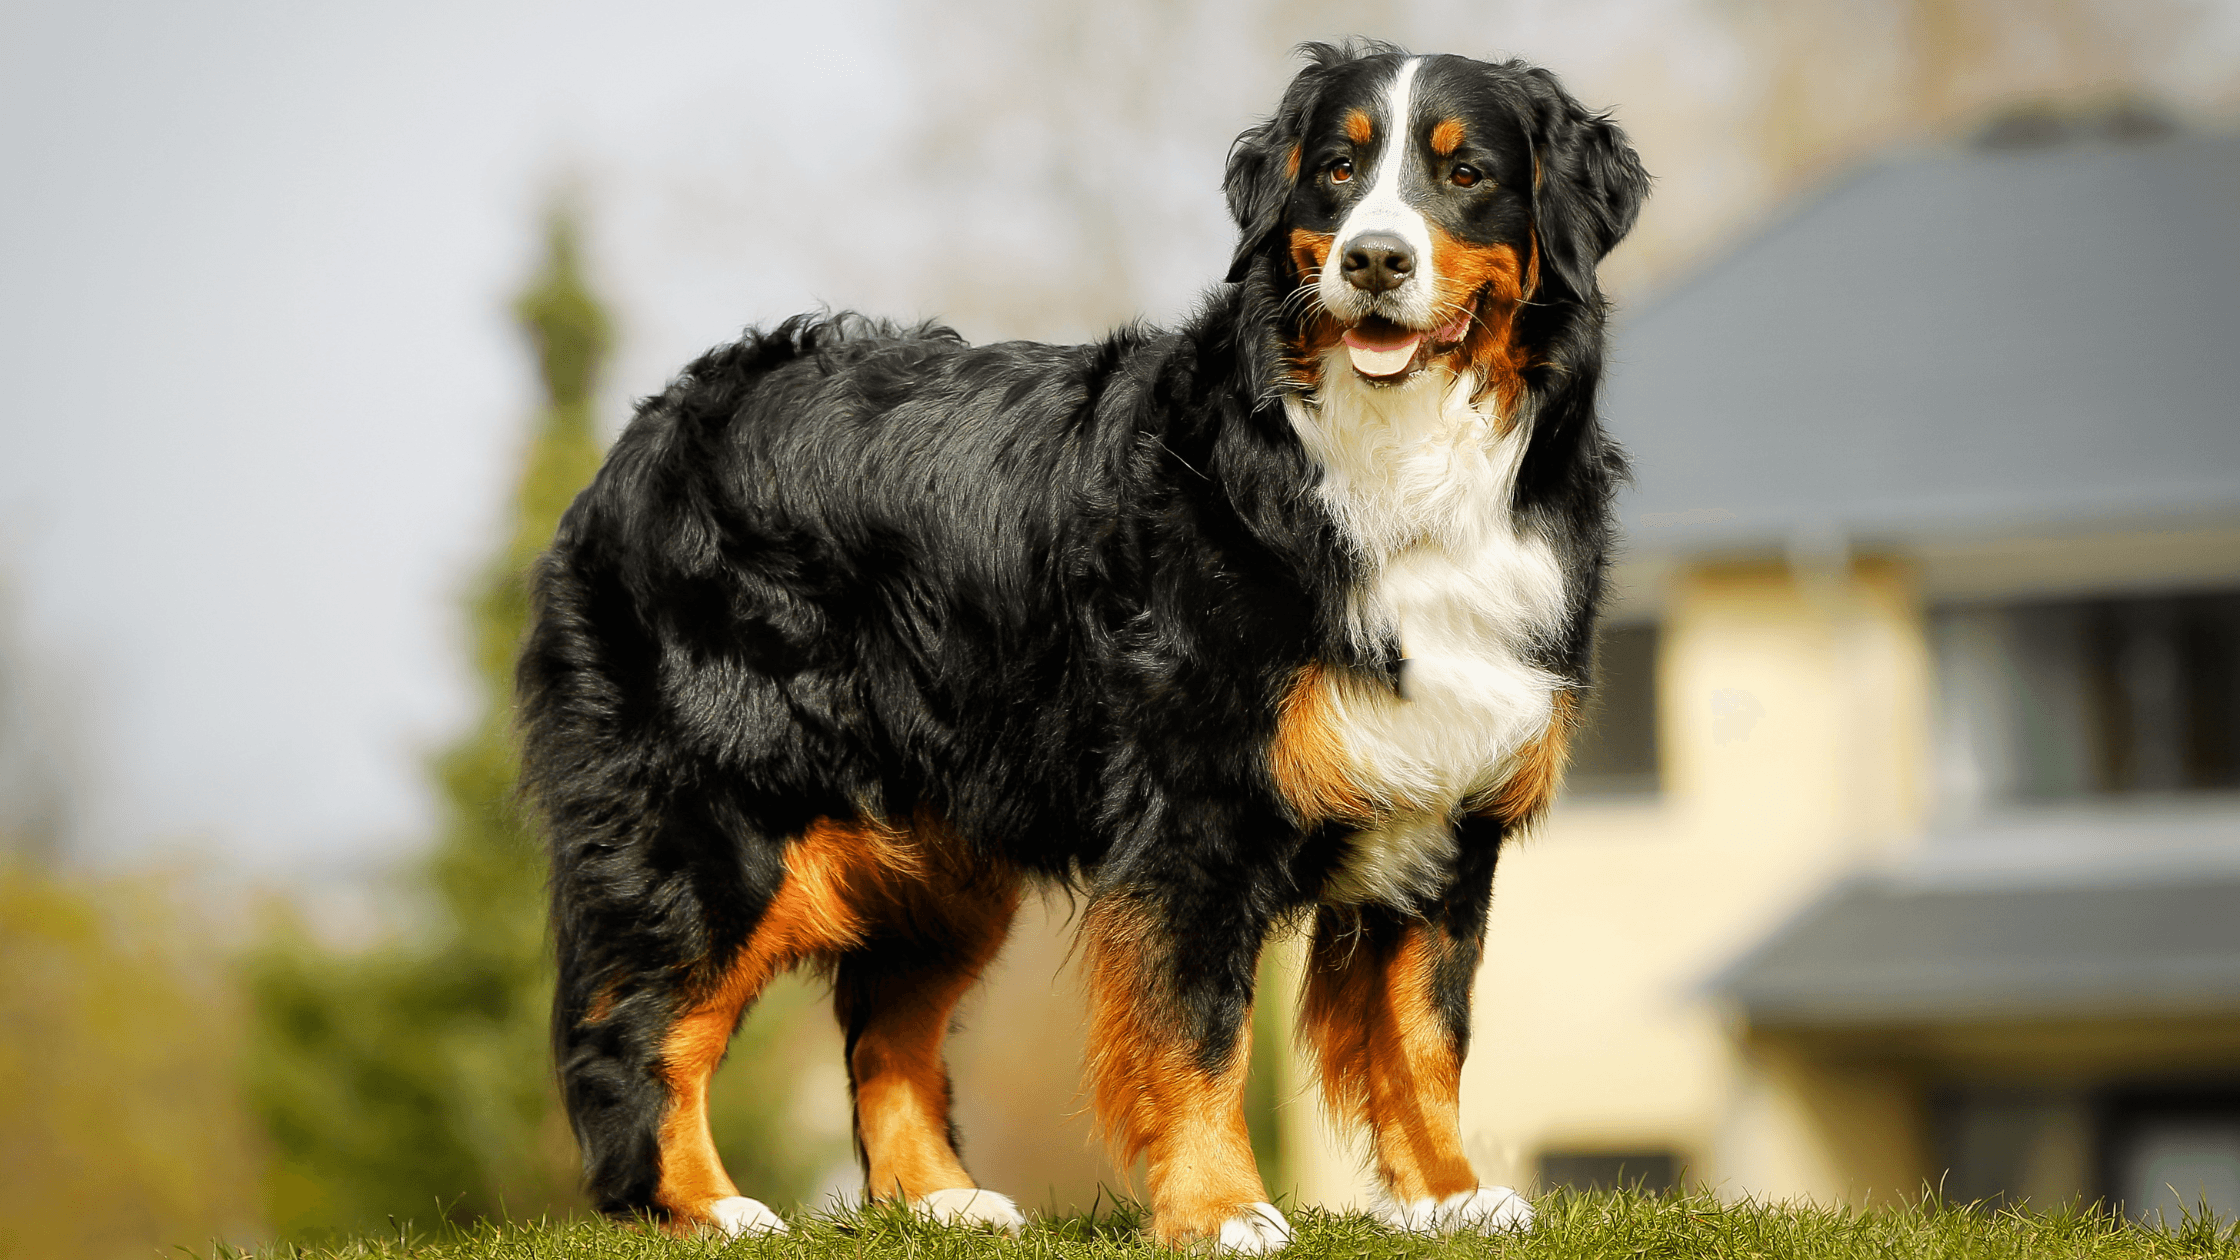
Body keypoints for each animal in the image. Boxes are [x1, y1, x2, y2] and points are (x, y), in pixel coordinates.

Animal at [519, 36, 1648, 1246]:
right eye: (1337, 171)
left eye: (1466, 173)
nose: (1375, 260)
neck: (1391, 461)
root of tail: (653, 429)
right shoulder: (1194, 812)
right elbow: (1197, 1029)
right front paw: (1220, 1211)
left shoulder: (1445, 807)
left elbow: (1427, 1032)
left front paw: (1450, 1197)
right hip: (719, 822)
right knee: (636, 1030)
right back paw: (703, 1208)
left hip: (942, 854)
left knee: (885, 1026)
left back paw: (941, 1201)